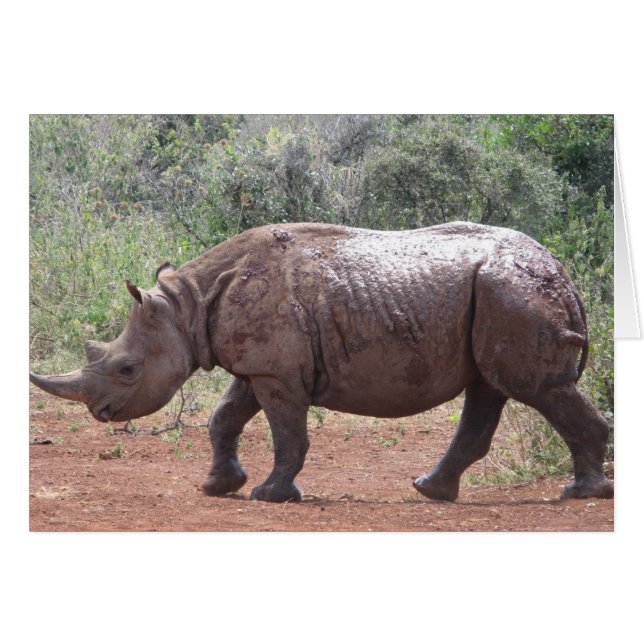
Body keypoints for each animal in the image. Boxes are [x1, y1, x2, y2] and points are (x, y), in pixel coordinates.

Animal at [30, 222, 614, 503]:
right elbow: (224, 419)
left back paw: (579, 493)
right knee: (489, 388)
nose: (101, 413)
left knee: (535, 388)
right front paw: (218, 487)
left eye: (127, 370)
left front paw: (270, 496)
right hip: (502, 295)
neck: (185, 306)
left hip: (514, 292)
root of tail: (562, 273)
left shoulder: (276, 371)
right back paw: (430, 491)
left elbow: (288, 432)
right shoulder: (261, 364)